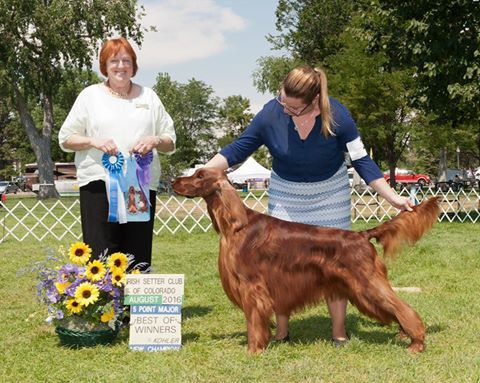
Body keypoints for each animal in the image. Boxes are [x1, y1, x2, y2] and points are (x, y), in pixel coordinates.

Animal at [172, 168, 438, 354]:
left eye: (199, 176)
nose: (174, 181)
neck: (237, 225)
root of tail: (362, 235)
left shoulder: (252, 287)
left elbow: (254, 322)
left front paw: (253, 350)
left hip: (368, 283)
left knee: (402, 307)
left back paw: (416, 342)